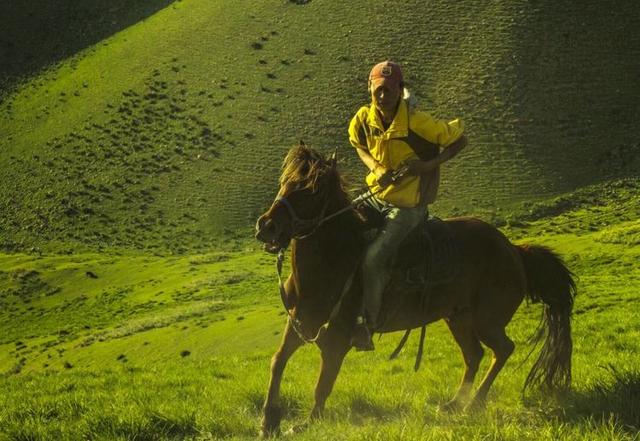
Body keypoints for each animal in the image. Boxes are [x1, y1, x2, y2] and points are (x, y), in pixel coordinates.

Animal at [254, 146, 576, 434]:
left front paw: (308, 422)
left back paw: (474, 404)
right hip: (458, 317)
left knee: (503, 350)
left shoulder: (337, 339)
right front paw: (268, 421)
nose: (266, 227)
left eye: (311, 191)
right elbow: (277, 362)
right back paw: (454, 404)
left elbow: (323, 384)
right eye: (285, 181)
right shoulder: (299, 324)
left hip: (487, 320)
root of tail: (514, 250)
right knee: (474, 355)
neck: (333, 262)